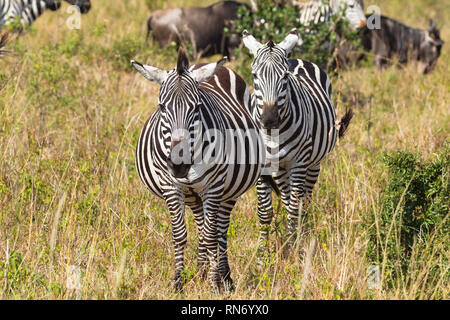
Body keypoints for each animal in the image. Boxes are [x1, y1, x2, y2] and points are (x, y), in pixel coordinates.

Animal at [130, 48, 264, 292]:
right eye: (161, 107)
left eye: (197, 108)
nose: (179, 164)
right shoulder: (171, 187)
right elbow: (180, 234)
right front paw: (178, 281)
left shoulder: (214, 187)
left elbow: (212, 236)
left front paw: (215, 283)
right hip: (193, 195)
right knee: (202, 226)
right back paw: (201, 271)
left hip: (228, 192)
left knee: (220, 231)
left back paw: (225, 276)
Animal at [243, 30, 352, 254]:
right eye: (255, 76)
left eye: (284, 77)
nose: (269, 120)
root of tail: (296, 58)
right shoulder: (263, 168)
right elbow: (265, 212)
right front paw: (262, 254)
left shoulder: (299, 162)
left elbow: (294, 208)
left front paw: (294, 247)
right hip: (281, 170)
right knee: (288, 198)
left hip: (313, 163)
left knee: (304, 200)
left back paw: (305, 231)